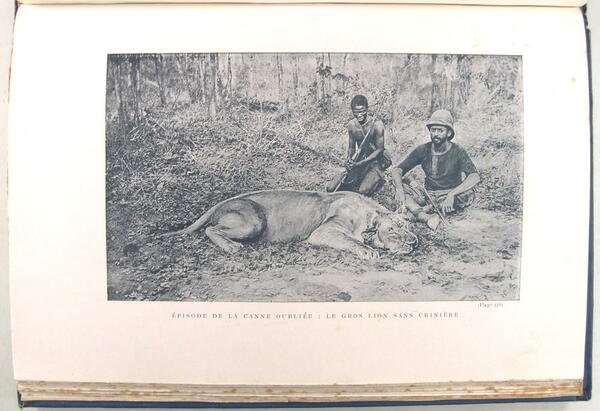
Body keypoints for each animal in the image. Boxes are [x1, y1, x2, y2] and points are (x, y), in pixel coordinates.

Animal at [170, 189, 418, 260]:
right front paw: (367, 250)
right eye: (392, 230)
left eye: (408, 226)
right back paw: (231, 246)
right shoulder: (323, 232)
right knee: (210, 228)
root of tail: (222, 202)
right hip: (253, 221)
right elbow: (351, 240)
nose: (415, 242)